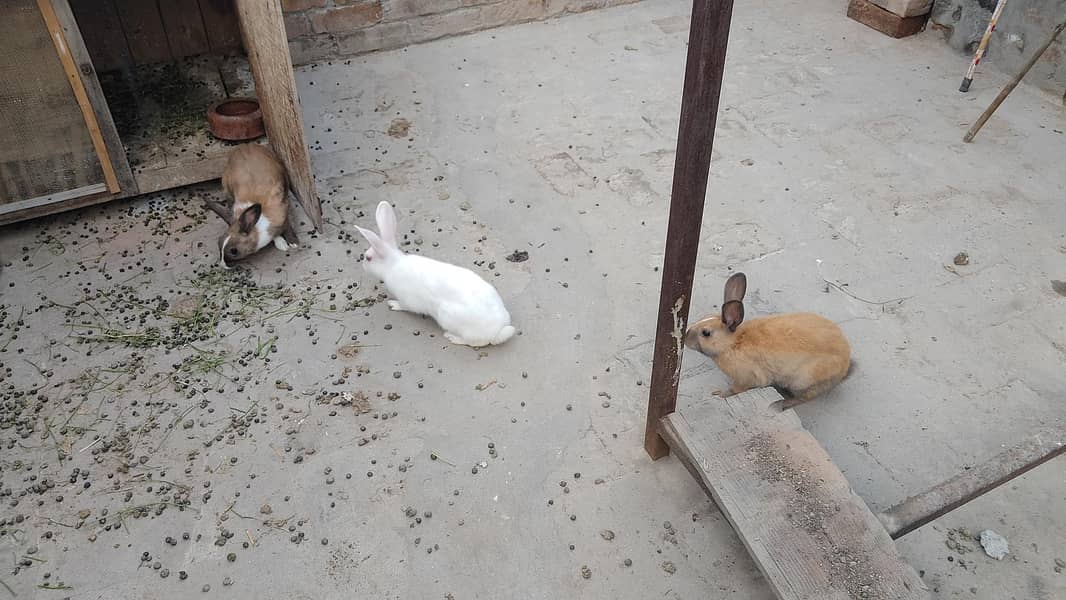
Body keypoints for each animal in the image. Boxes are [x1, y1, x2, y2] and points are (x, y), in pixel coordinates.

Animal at [354, 201, 516, 348]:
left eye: (368, 258)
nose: (362, 265)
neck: (393, 265)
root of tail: (498, 331)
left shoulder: (407, 299)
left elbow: (404, 306)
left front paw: (393, 304)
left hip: (448, 317)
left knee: (476, 342)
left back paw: (452, 337)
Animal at [684, 272, 851, 402]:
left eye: (706, 333)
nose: (685, 337)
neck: (733, 343)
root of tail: (845, 365)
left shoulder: (746, 378)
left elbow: (735, 390)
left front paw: (719, 394)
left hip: (804, 379)